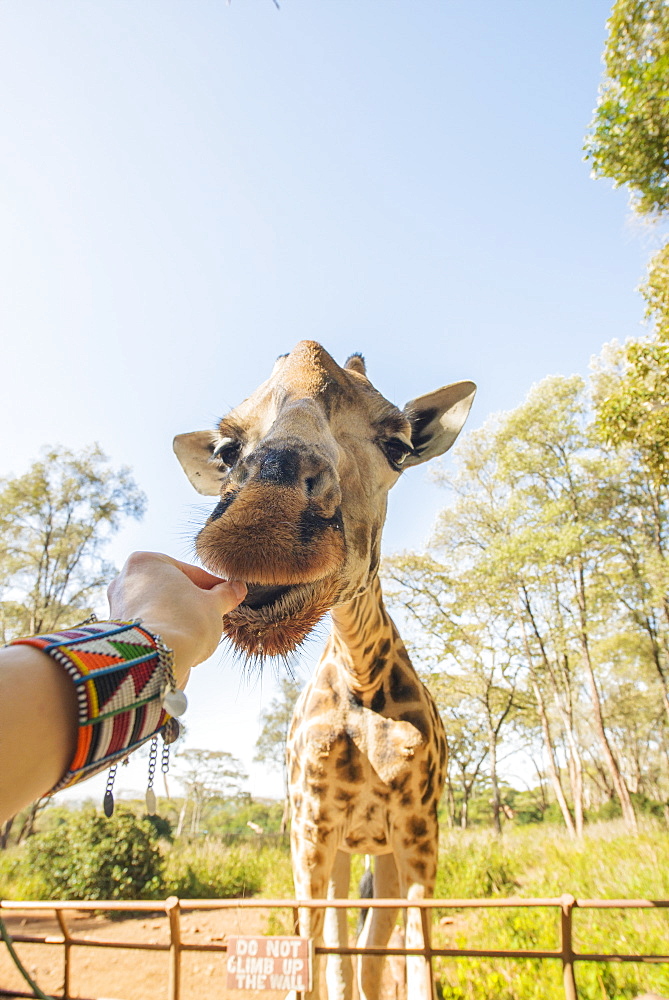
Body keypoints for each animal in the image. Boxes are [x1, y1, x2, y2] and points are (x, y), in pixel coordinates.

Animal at [172, 340, 474, 996]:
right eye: (227, 451)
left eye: (398, 444)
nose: (262, 523)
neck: (361, 682)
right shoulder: (310, 826)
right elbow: (312, 957)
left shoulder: (418, 829)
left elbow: (414, 962)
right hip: (339, 851)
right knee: (341, 948)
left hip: (378, 852)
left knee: (370, 952)